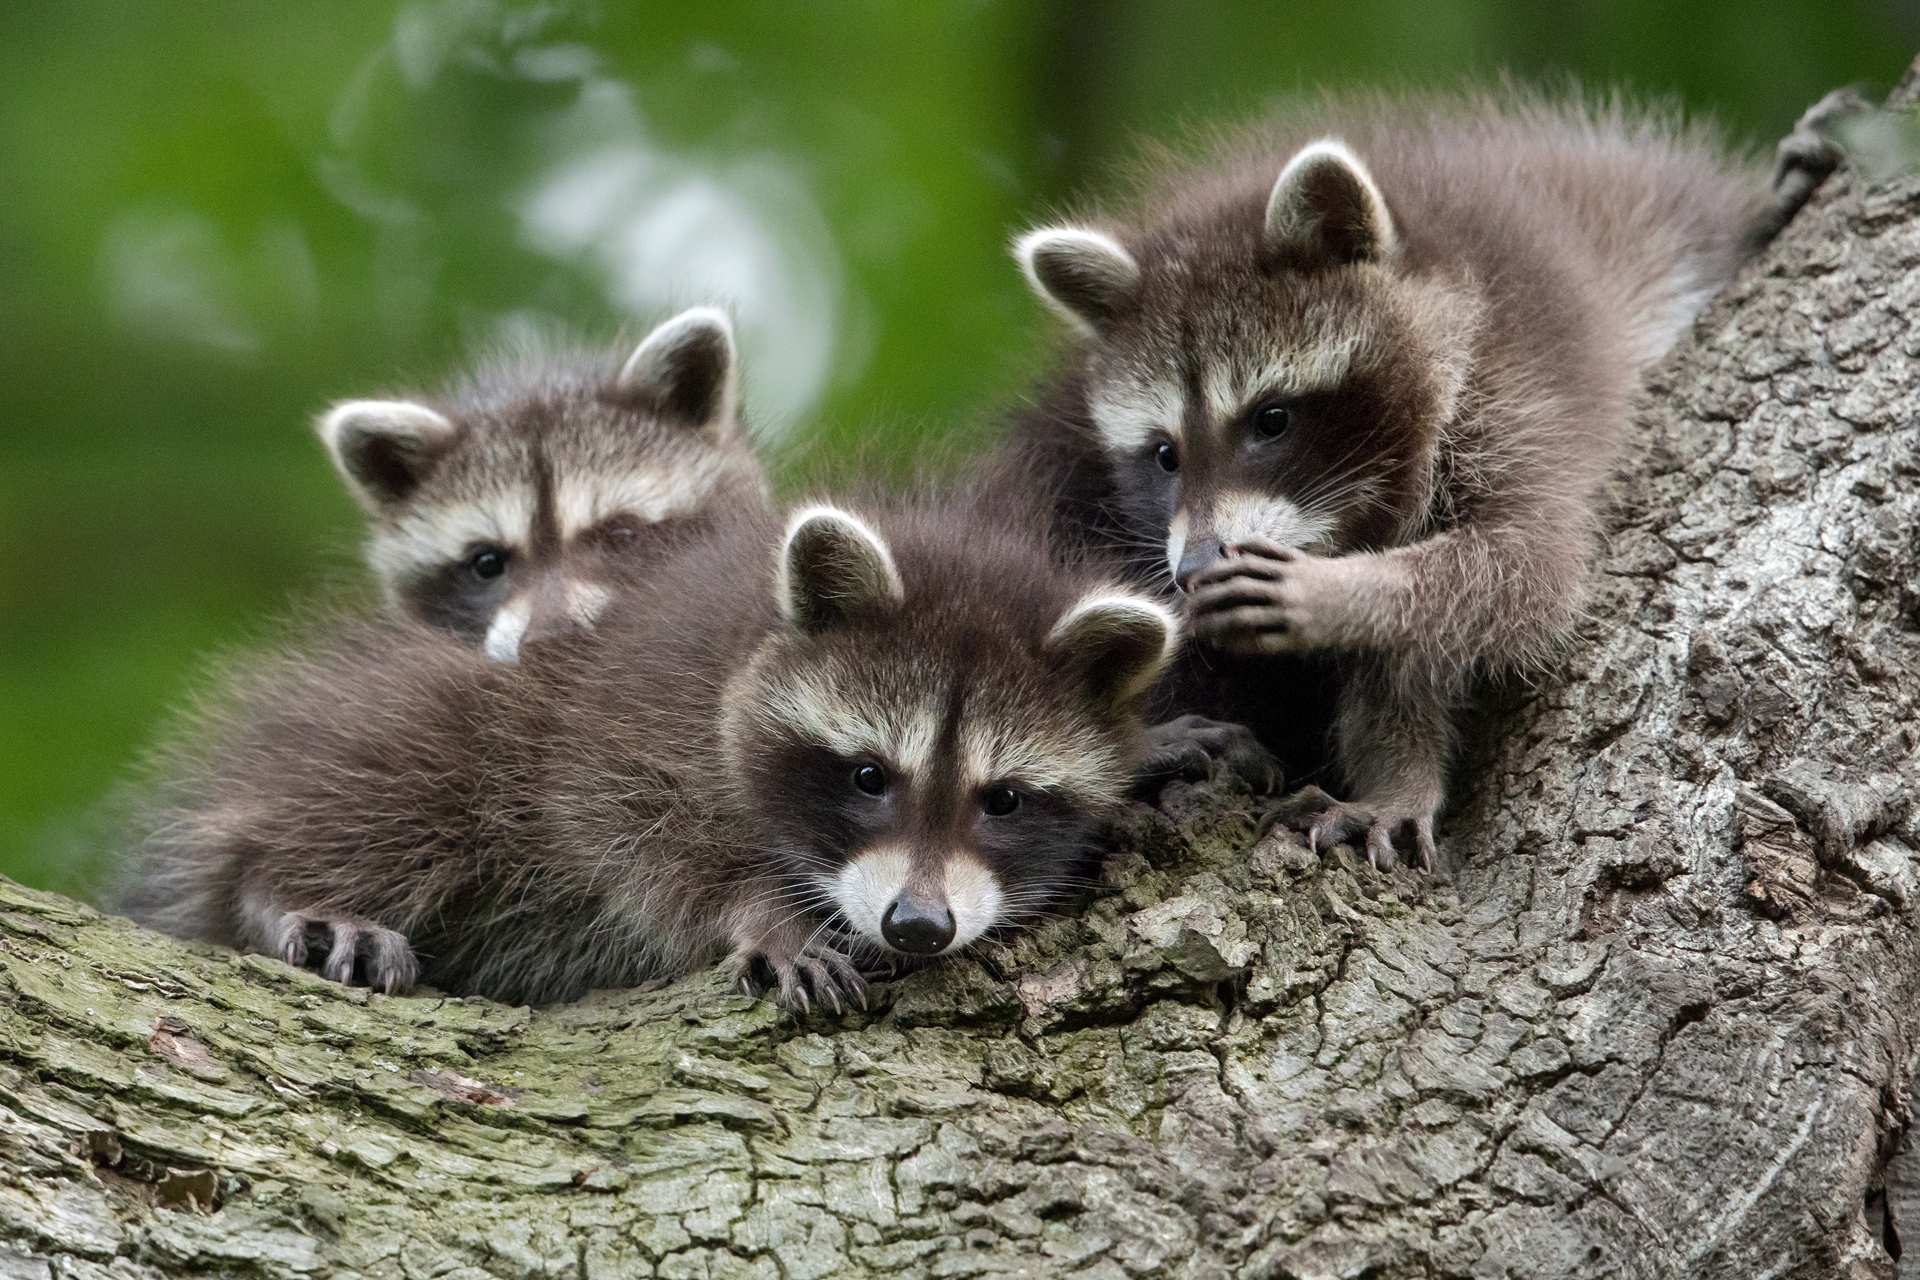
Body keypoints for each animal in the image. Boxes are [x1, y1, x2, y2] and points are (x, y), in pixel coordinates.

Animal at [120, 496, 1177, 1011]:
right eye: (870, 777)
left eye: (1004, 800)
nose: (918, 926)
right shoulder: (633, 708)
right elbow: (624, 826)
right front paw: (760, 912)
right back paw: (274, 883)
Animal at [998, 90, 1809, 869]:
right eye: (1165, 454)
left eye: (1272, 419)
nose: (1192, 568)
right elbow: (1411, 656)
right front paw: (1398, 770)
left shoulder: (1515, 391)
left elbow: (1522, 570)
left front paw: (1342, 593)